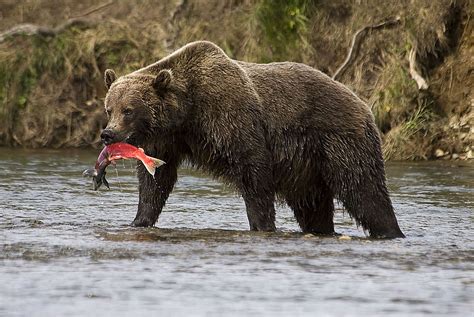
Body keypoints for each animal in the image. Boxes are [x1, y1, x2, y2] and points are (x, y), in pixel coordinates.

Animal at [100, 40, 404, 237]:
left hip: (338, 140)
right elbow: (155, 182)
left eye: (129, 109)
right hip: (307, 170)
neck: (188, 112)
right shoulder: (166, 140)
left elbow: (254, 172)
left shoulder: (231, 118)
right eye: (109, 108)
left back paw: (391, 231)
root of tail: (363, 104)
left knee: (364, 190)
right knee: (313, 207)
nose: (107, 134)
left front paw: (262, 225)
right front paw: (139, 220)